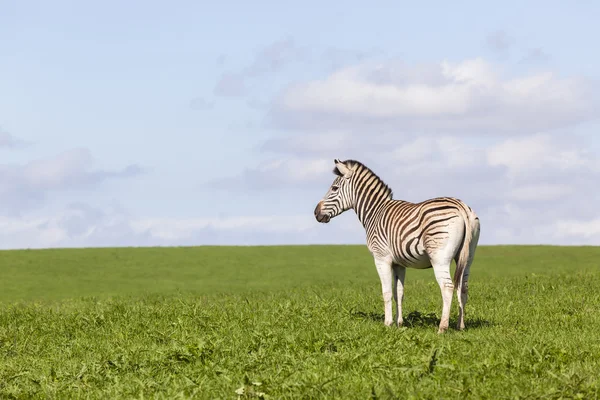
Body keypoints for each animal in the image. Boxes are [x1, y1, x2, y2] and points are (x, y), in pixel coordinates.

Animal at [314, 158, 478, 332]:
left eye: (334, 188)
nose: (315, 213)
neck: (374, 212)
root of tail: (461, 207)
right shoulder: (399, 263)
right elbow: (398, 292)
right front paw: (400, 323)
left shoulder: (381, 258)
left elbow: (386, 292)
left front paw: (388, 323)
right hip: (467, 256)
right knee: (463, 287)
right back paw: (461, 326)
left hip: (439, 257)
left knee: (447, 287)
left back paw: (442, 327)